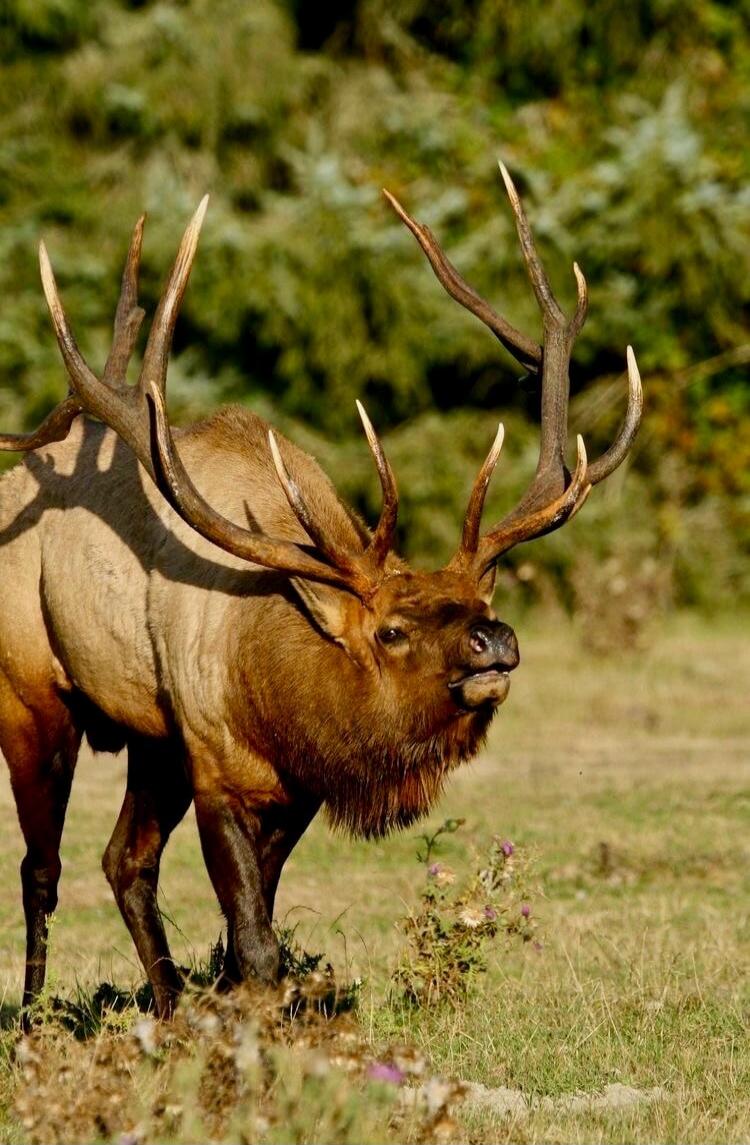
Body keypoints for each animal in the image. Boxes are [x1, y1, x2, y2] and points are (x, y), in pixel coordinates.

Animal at [0, 163, 641, 1023]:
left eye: (476, 607)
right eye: (392, 630)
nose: (497, 641)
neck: (268, 679)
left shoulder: (285, 781)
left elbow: (248, 934)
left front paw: (225, 1011)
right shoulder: (212, 762)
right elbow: (257, 944)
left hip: (149, 735)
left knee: (123, 860)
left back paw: (168, 1006)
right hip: (36, 697)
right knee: (43, 869)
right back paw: (33, 1017)